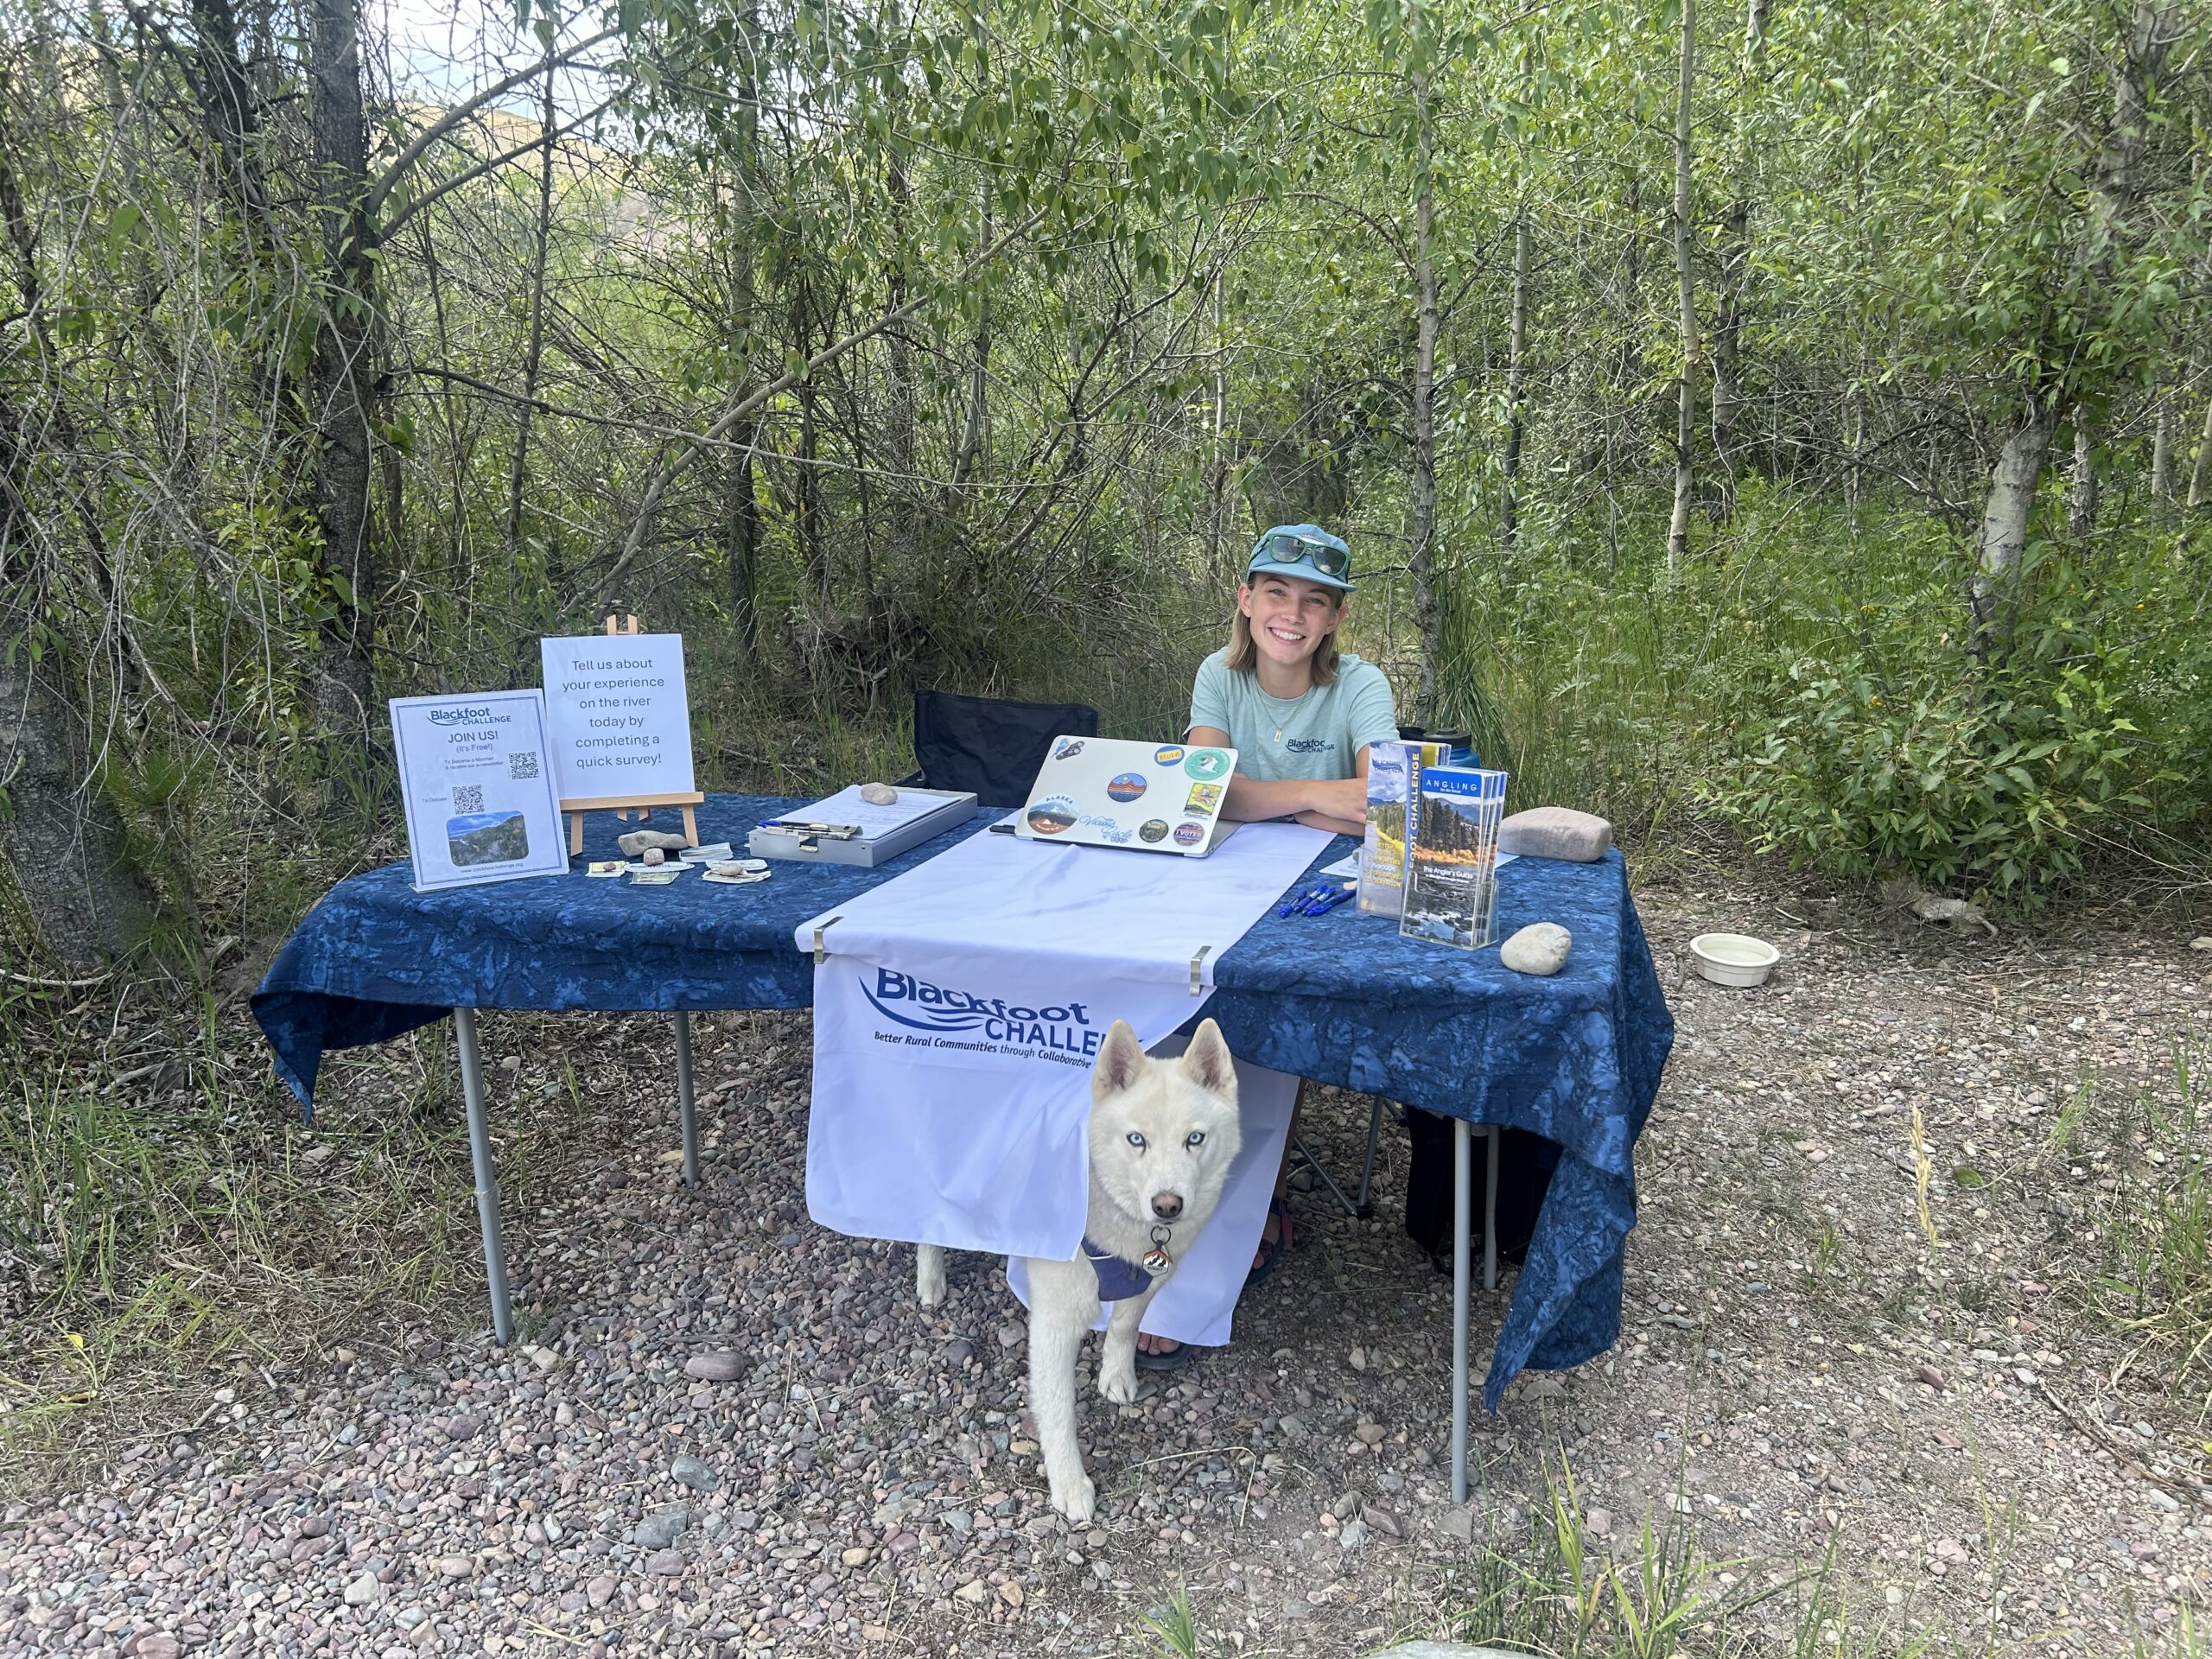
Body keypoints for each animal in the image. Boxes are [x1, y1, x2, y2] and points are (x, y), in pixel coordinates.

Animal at [915, 1016, 1242, 1521]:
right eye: (1136, 1139)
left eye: (1195, 1138)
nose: (1167, 1206)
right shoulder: (1055, 1321)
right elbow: (1058, 1407)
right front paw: (1069, 1483)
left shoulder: (1148, 1281)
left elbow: (1125, 1328)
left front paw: (1117, 1376)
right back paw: (930, 1279)